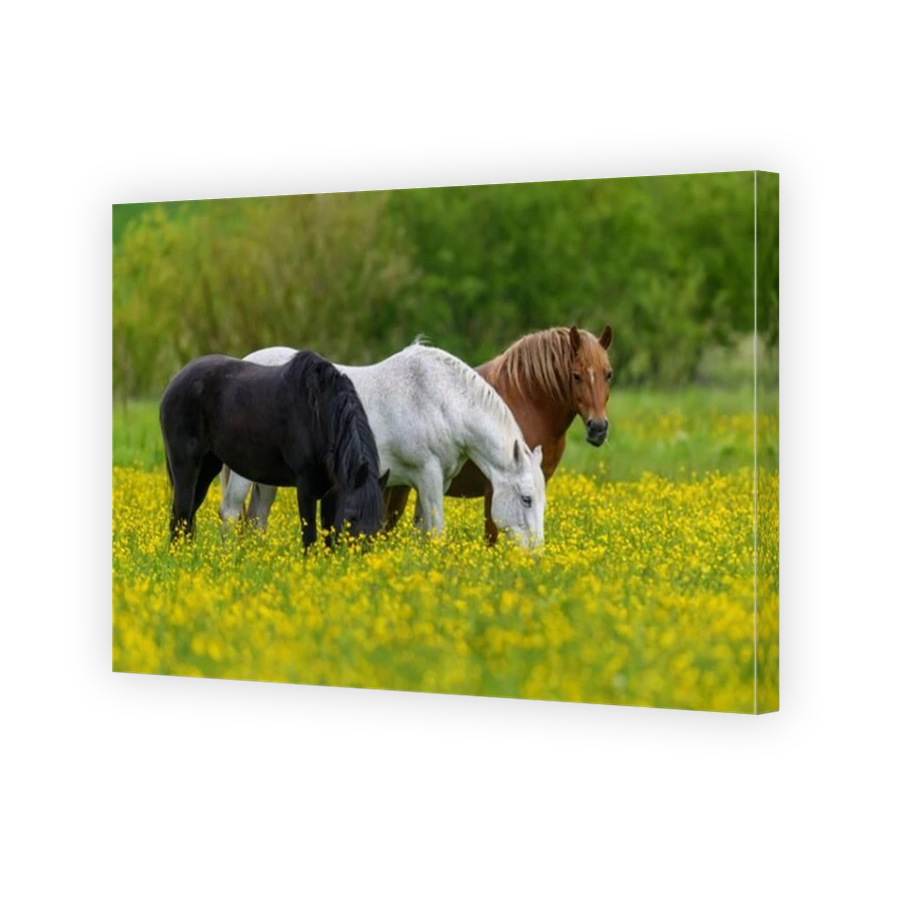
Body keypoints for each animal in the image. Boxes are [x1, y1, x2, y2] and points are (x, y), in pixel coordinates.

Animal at [159, 350, 389, 548]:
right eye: (351, 516)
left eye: (379, 519)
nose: (361, 555)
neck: (317, 414)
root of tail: (175, 380)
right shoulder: (306, 487)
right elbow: (310, 538)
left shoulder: (332, 490)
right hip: (186, 466)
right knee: (181, 514)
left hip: (208, 467)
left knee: (187, 516)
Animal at [219, 340, 546, 550]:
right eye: (526, 499)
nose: (535, 557)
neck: (441, 399)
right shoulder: (428, 476)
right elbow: (436, 531)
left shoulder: (435, 482)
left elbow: (422, 532)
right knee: (230, 512)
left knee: (257, 519)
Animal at [383, 325, 614, 543]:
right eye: (576, 376)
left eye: (608, 374)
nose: (598, 428)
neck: (527, 404)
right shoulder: (495, 489)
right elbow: (491, 538)